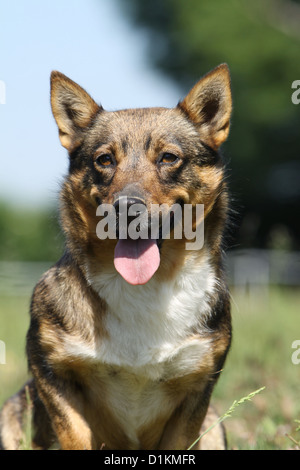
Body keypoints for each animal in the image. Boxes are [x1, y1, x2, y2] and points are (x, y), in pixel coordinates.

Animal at [0, 64, 233, 450]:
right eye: (104, 160)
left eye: (169, 158)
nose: (126, 209)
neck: (146, 288)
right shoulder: (50, 369)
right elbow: (74, 434)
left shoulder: (198, 387)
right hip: (11, 411)